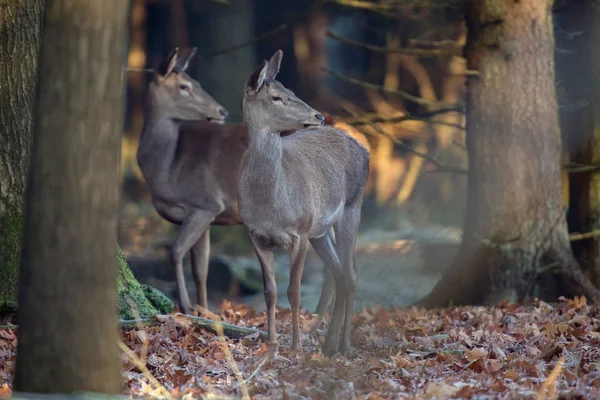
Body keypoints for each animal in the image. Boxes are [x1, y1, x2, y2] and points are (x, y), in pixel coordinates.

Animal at [138, 47, 340, 316]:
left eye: (195, 83)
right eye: (185, 85)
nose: (221, 111)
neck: (165, 166)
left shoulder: (206, 202)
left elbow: (174, 251)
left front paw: (187, 307)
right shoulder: (205, 213)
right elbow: (200, 268)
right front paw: (203, 309)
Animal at [239, 50, 370, 356]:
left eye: (292, 90)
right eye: (276, 96)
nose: (318, 115)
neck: (271, 203)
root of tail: (364, 149)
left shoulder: (298, 232)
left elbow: (294, 291)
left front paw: (296, 347)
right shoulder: (255, 234)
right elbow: (270, 291)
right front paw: (272, 343)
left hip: (352, 208)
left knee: (351, 275)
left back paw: (344, 346)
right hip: (320, 229)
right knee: (337, 273)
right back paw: (329, 345)